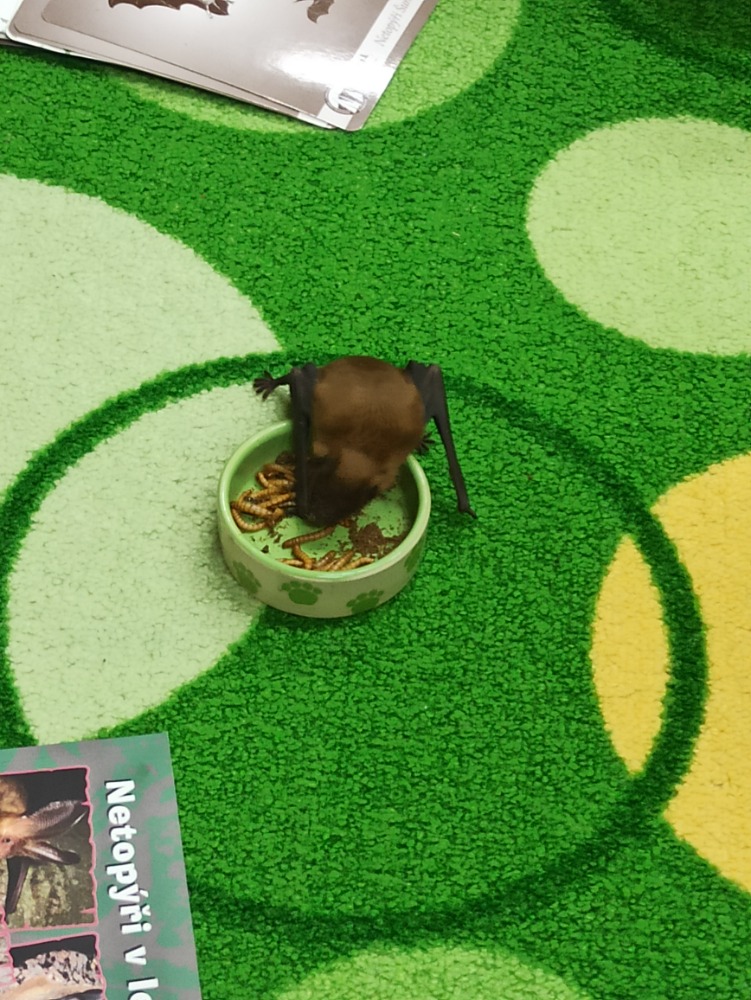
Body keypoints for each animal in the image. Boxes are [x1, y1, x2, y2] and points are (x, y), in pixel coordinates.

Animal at [253, 356, 475, 527]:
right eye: (315, 486)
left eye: (354, 505)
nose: (315, 518)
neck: (364, 449)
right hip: (307, 382)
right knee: (297, 373)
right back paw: (268, 383)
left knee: (433, 372)